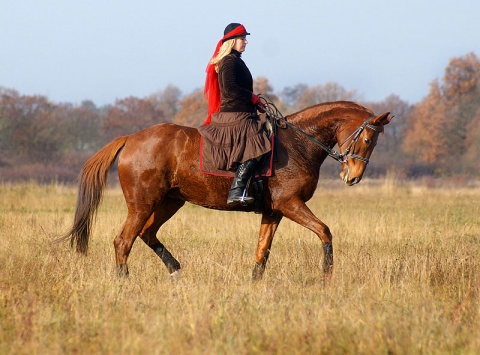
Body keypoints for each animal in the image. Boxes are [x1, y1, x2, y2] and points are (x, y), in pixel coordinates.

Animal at [60, 101, 392, 282]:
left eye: (375, 142)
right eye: (367, 139)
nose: (353, 177)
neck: (299, 143)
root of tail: (131, 138)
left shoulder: (273, 211)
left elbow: (262, 251)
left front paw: (254, 284)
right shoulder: (290, 204)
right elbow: (324, 231)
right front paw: (326, 277)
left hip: (170, 202)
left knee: (146, 234)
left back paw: (175, 271)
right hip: (143, 203)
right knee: (123, 240)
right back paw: (124, 281)